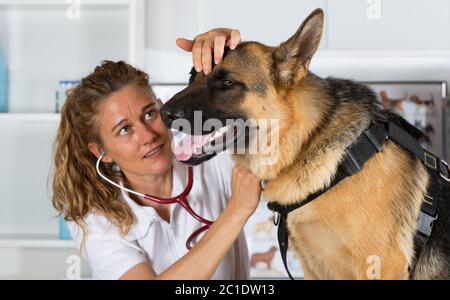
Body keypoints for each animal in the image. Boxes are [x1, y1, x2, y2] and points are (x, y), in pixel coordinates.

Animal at [160, 8, 448, 278]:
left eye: (228, 82)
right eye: (191, 75)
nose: (163, 113)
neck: (307, 142)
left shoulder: (382, 264)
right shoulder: (314, 268)